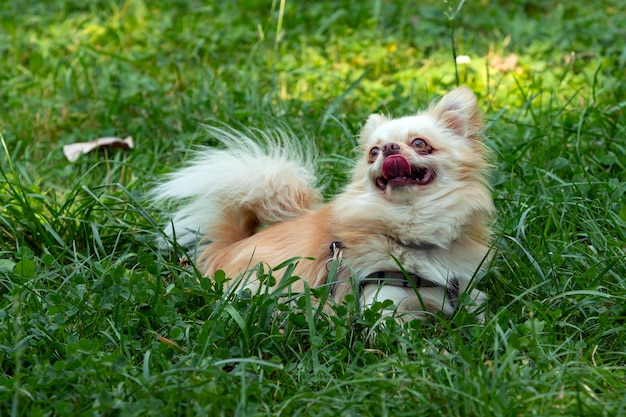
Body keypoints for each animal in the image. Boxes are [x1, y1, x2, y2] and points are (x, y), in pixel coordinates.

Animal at [151, 86, 492, 320]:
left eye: (420, 144)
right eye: (373, 152)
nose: (388, 149)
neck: (411, 227)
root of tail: (230, 245)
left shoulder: (465, 293)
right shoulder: (383, 307)